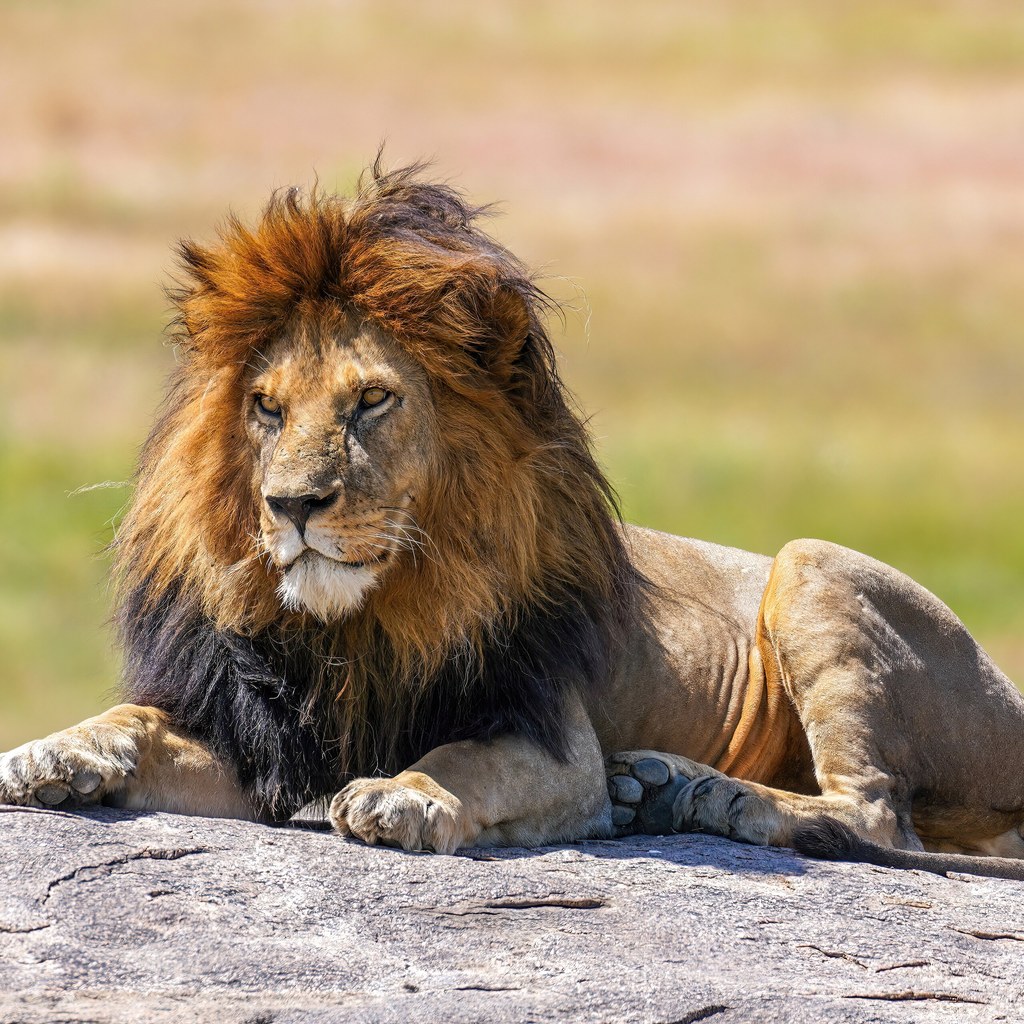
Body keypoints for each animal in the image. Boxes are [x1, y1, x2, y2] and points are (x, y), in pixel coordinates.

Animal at [2, 163, 1024, 881]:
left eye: (371, 400)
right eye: (265, 407)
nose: (290, 505)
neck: (361, 624)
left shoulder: (553, 743)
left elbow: (463, 759)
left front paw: (405, 796)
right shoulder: (262, 745)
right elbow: (136, 719)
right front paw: (56, 750)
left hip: (812, 564)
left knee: (876, 817)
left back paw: (704, 797)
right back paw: (663, 790)